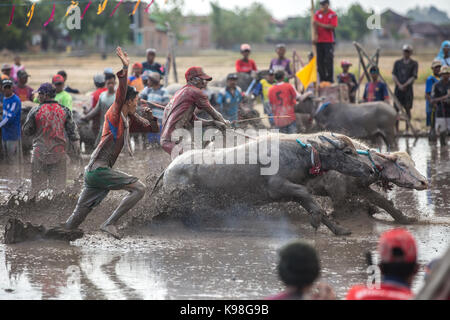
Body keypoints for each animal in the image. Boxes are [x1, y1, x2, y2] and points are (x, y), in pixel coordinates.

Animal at [159, 132, 376, 235]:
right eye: (348, 151)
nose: (370, 170)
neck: (300, 155)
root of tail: (169, 169)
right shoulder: (277, 188)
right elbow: (308, 195)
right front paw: (315, 221)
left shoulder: (294, 193)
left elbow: (315, 207)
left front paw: (339, 230)